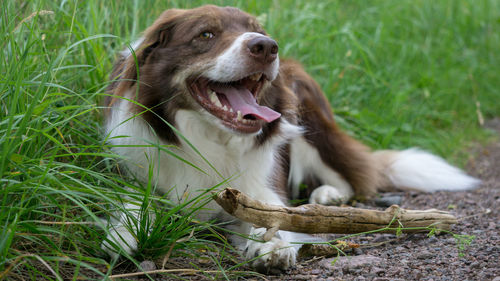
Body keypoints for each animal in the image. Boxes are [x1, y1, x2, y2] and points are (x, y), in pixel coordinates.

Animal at [102, 4, 480, 272]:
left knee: (350, 178)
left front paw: (271, 245)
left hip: (311, 121)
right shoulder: (133, 169)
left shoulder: (260, 186)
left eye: (258, 31)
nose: (267, 47)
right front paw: (124, 232)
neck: (210, 140)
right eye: (206, 35)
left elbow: (273, 216)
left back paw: (327, 196)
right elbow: (132, 202)